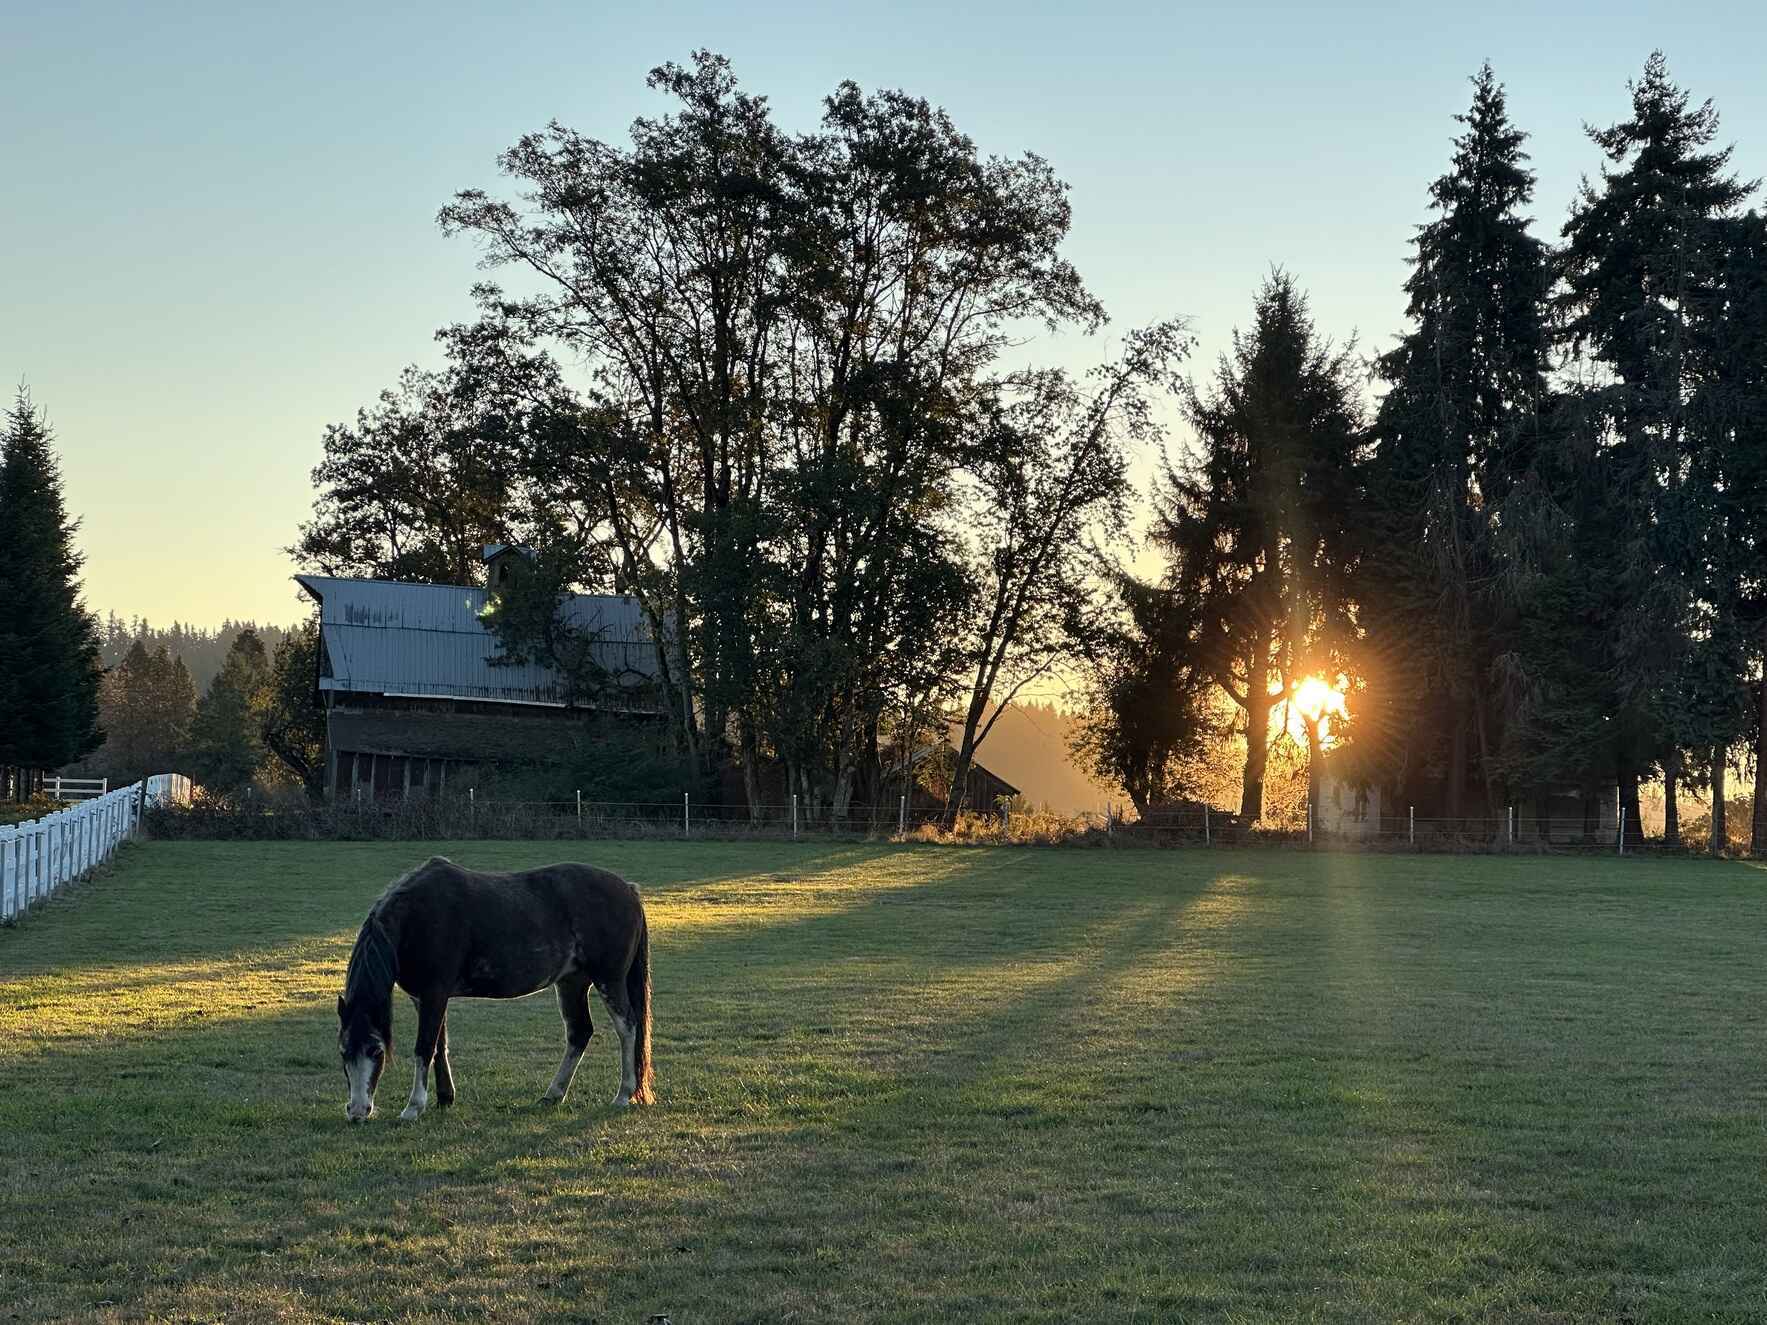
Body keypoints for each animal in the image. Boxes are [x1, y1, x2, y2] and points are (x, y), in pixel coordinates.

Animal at [335, 855, 653, 1122]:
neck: (417, 916)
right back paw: (553, 1095)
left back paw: (623, 1094)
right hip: (571, 982)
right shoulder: (425, 998)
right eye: (342, 1052)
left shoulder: (434, 994)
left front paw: (413, 1108)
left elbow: (424, 1047)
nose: (358, 1111)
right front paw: (444, 1098)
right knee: (579, 1033)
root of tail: (628, 889)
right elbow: (439, 1045)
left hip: (609, 979)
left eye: (377, 1051)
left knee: (627, 1026)